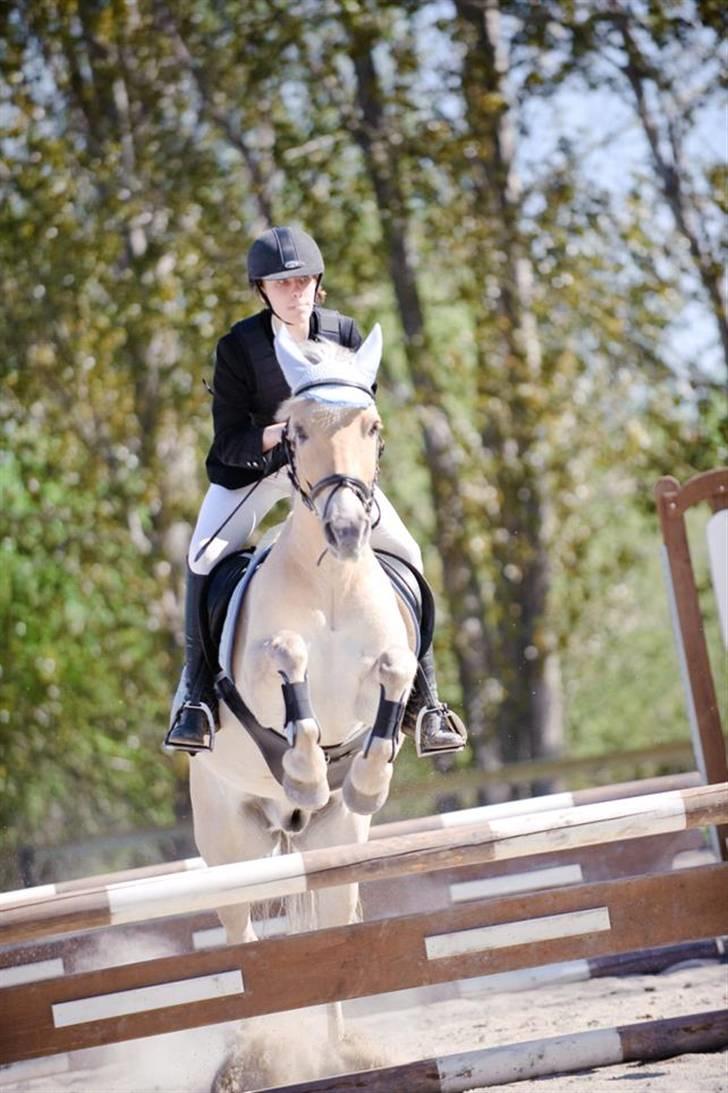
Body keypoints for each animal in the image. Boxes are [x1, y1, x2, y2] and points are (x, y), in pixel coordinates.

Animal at [186, 325, 417, 966]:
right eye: (296, 432)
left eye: (372, 428)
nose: (346, 531)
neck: (332, 579)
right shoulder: (261, 683)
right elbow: (290, 660)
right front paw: (308, 773)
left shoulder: (370, 687)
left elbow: (396, 668)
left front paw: (367, 783)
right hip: (229, 843)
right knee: (239, 930)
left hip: (331, 841)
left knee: (332, 920)